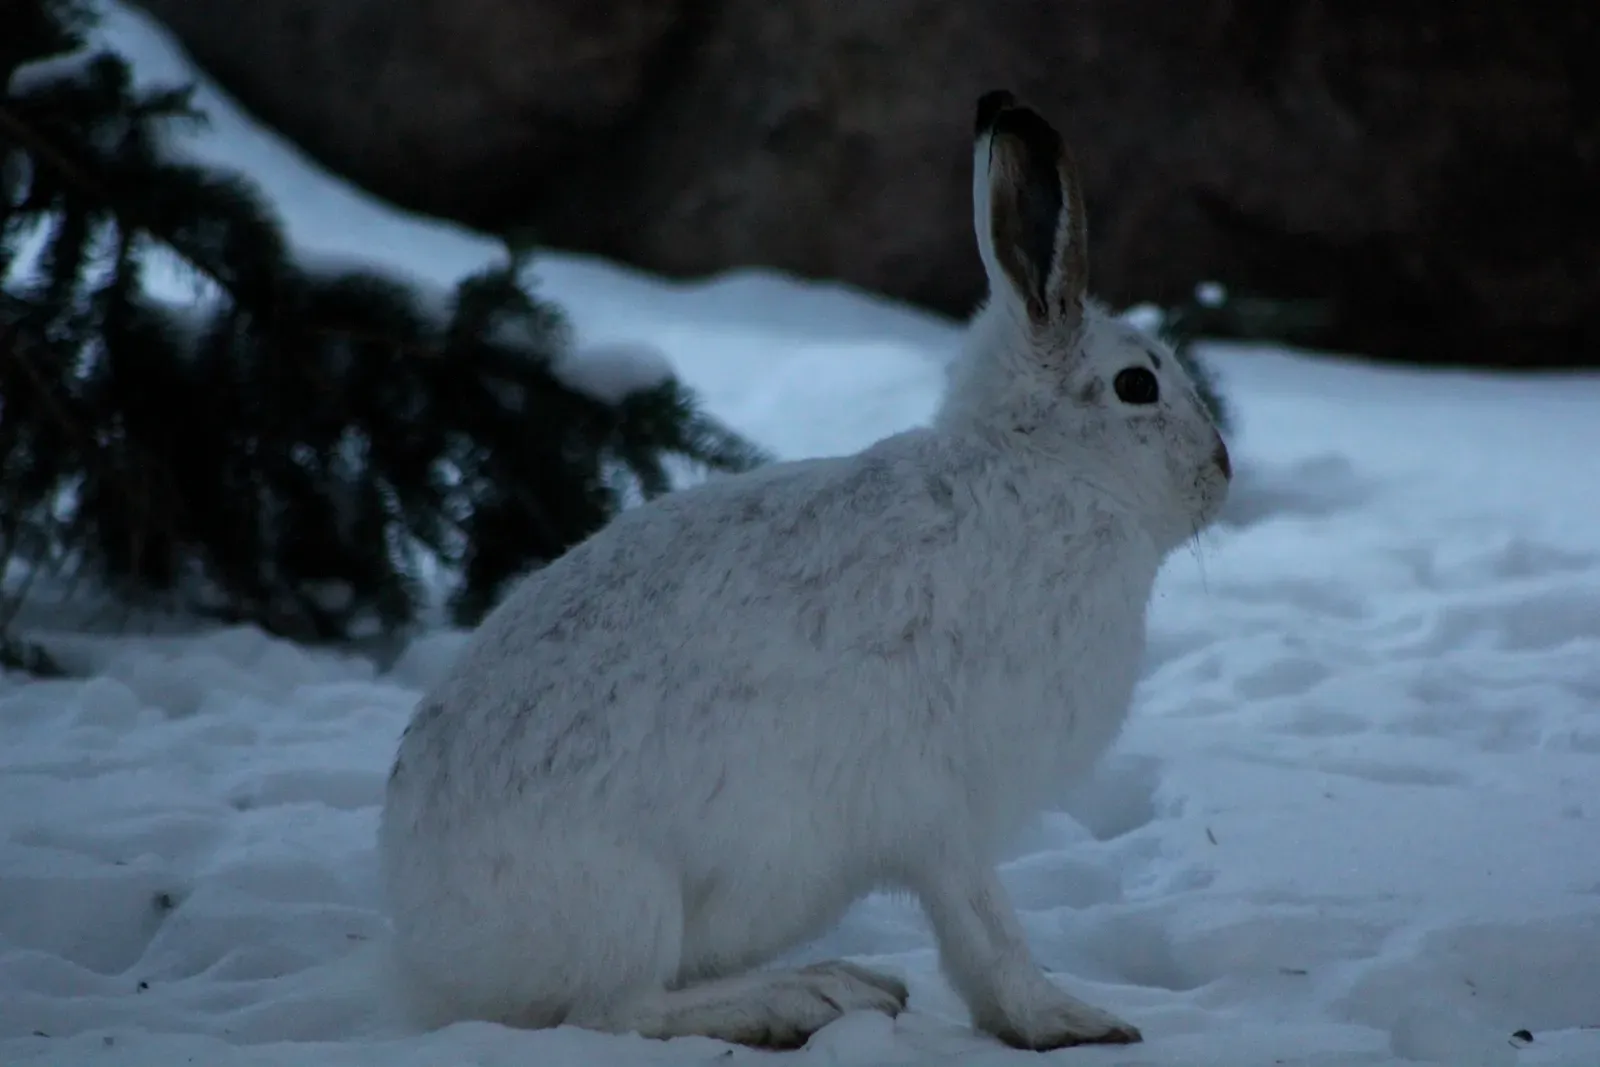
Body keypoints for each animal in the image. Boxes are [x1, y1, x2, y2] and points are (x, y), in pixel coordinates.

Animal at [378, 89, 1232, 1052]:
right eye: (1137, 386)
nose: (1222, 470)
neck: (1039, 473)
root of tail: (431, 941)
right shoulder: (943, 807)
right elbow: (986, 925)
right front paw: (1069, 1020)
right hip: (627, 895)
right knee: (616, 1009)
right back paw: (808, 997)